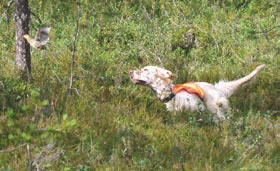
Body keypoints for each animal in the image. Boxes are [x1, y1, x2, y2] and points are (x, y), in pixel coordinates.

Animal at [129, 64, 264, 119]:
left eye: (145, 69)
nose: (130, 72)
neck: (173, 95)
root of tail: (216, 87)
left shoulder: (198, 108)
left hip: (214, 106)